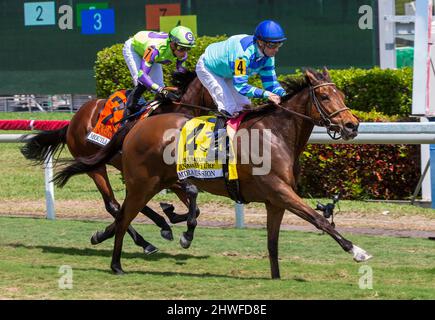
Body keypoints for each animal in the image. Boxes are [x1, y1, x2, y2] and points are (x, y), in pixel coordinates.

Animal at [22, 71, 216, 254]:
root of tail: (72, 122)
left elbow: (195, 207)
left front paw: (170, 214)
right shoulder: (166, 175)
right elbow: (191, 193)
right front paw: (173, 219)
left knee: (126, 203)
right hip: (96, 166)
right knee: (114, 205)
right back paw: (144, 241)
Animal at [52, 69, 372, 278]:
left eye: (341, 93)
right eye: (325, 96)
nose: (351, 125)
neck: (276, 134)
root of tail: (135, 127)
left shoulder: (275, 200)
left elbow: (272, 242)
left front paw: (276, 277)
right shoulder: (279, 191)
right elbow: (319, 219)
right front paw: (357, 250)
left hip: (154, 181)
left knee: (124, 213)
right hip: (136, 181)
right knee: (120, 213)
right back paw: (118, 263)